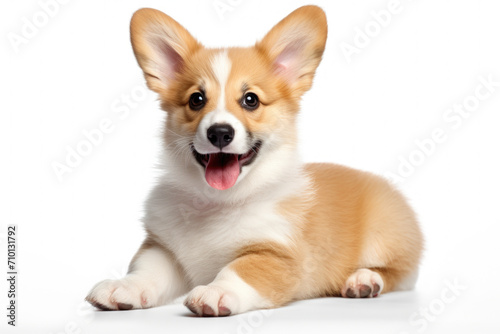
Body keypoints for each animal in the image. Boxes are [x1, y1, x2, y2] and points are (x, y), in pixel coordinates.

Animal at [85, 6, 422, 318]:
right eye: (196, 99)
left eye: (251, 100)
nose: (220, 133)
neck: (216, 202)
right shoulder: (164, 249)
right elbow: (146, 271)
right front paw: (124, 287)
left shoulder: (277, 255)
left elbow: (239, 269)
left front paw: (217, 292)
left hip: (387, 237)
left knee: (397, 273)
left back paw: (364, 279)